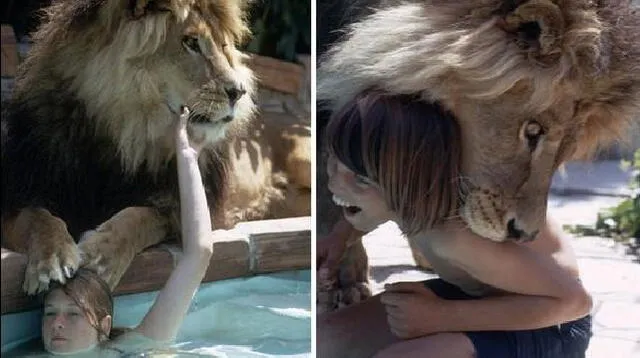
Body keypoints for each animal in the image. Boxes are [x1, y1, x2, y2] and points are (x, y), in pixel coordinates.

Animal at [0, 0, 310, 296]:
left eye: (223, 46)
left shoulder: (184, 211)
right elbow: (37, 217)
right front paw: (51, 260)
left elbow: (140, 216)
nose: (240, 91)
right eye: (191, 42)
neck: (124, 133)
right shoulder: (22, 191)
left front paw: (101, 254)